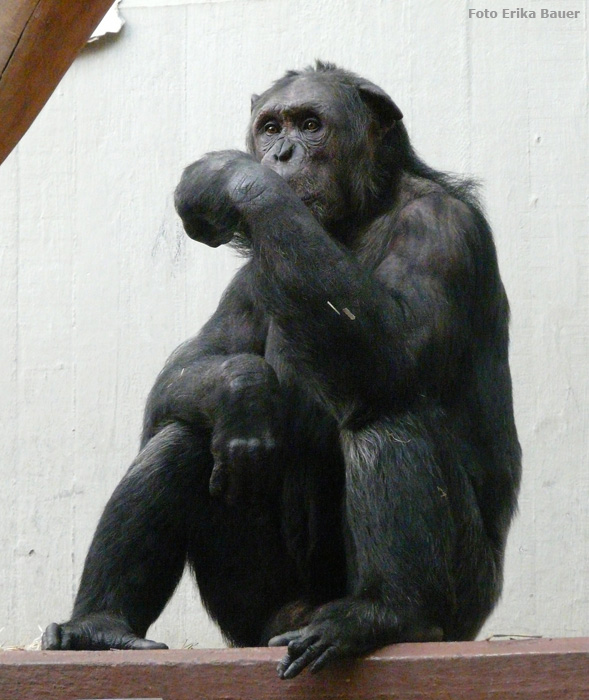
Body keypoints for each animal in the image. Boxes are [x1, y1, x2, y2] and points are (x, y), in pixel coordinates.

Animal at [41, 61, 520, 680]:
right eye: (271, 126)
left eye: (311, 124)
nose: (281, 153)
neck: (353, 219)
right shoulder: (248, 282)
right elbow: (184, 371)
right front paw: (242, 390)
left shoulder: (439, 229)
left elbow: (395, 349)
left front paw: (231, 176)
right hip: (252, 612)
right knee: (185, 433)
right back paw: (99, 626)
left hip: (465, 602)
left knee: (385, 405)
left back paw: (386, 614)